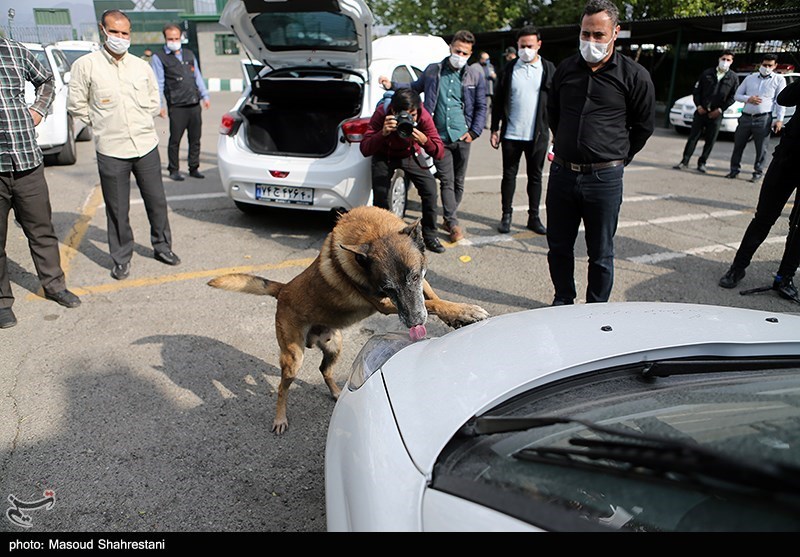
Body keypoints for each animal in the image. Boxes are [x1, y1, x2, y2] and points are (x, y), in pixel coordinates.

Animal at [208, 205, 488, 434]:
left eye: (414, 277)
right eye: (387, 288)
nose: (415, 323)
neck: (372, 232)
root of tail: (284, 289)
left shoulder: (421, 281)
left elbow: (433, 297)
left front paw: (457, 315)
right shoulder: (384, 305)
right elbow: (432, 303)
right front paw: (465, 311)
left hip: (334, 345)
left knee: (324, 370)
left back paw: (335, 392)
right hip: (293, 358)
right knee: (281, 388)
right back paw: (280, 419)